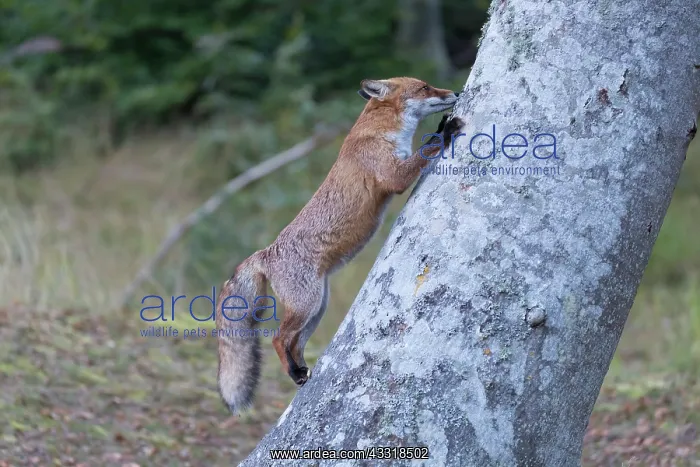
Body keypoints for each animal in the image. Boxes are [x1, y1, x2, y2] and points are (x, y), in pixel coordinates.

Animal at [216, 77, 465, 414]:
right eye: (425, 87)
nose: (455, 92)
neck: (382, 133)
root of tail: (265, 252)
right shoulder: (393, 176)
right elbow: (425, 150)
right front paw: (445, 130)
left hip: (318, 305)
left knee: (294, 342)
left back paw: (300, 372)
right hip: (307, 303)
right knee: (278, 339)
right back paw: (294, 371)